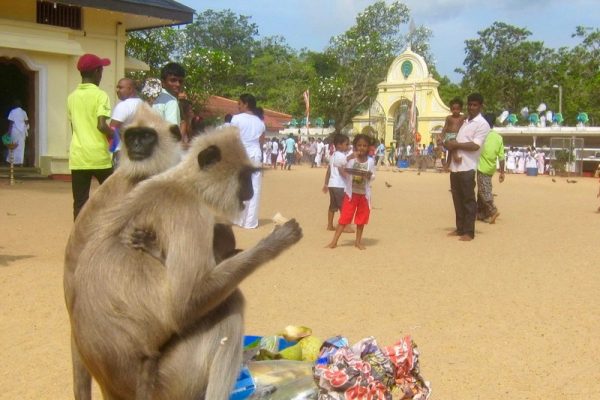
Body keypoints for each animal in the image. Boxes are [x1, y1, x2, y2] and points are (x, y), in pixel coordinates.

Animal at [69, 127, 302, 400]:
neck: (185, 183)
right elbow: (185, 304)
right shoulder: (190, 213)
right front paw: (275, 243)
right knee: (230, 307)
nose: (250, 191)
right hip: (171, 381)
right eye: (244, 176)